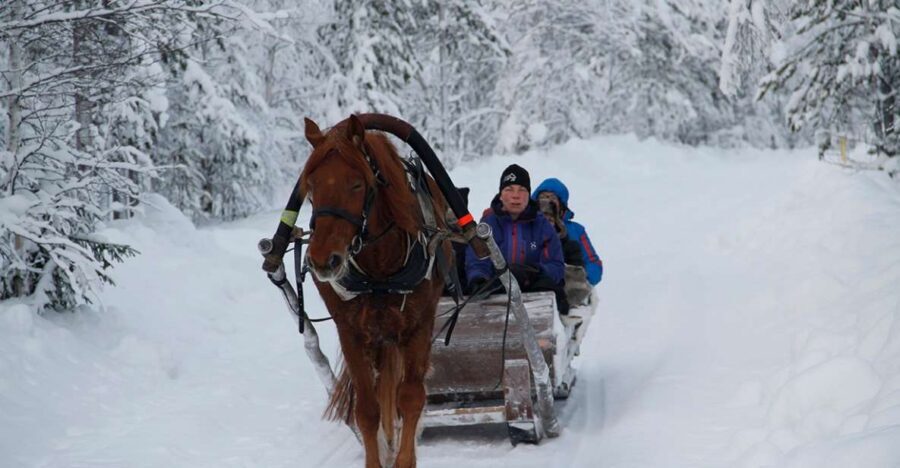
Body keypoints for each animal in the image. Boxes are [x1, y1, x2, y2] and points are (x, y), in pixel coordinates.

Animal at [299, 114, 451, 468]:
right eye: (311, 186)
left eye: (356, 184)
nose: (322, 260)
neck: (380, 268)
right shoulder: (351, 332)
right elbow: (367, 410)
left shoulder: (418, 326)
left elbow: (410, 397)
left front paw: (405, 459)